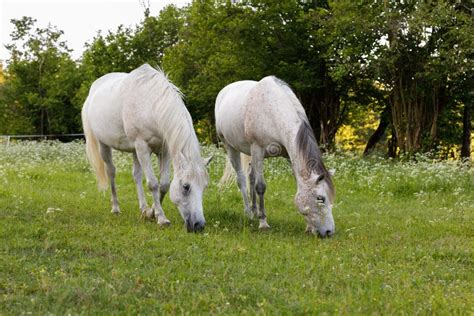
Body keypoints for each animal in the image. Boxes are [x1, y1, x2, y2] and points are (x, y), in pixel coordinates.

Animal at [82, 64, 211, 232]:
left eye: (204, 186)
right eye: (185, 187)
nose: (199, 225)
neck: (150, 104)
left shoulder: (164, 151)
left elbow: (164, 185)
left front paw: (151, 213)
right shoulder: (142, 147)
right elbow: (153, 183)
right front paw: (161, 218)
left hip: (134, 151)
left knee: (136, 175)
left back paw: (143, 208)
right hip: (105, 146)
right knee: (111, 172)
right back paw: (115, 208)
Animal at [217, 76, 336, 237]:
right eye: (320, 198)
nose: (330, 232)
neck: (272, 111)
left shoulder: (289, 155)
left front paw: (309, 227)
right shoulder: (258, 149)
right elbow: (260, 187)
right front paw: (263, 223)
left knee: (251, 176)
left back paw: (254, 210)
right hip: (230, 146)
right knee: (241, 178)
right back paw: (249, 213)